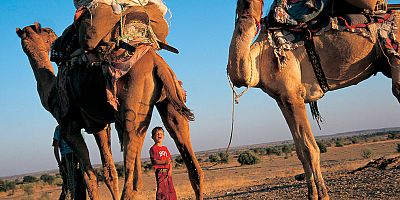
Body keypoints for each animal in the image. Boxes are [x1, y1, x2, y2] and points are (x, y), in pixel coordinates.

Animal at [16, 22, 205, 199]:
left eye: (46, 32)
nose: (54, 37)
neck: (52, 93)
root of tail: (157, 63)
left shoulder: (68, 127)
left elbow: (89, 176)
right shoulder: (99, 126)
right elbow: (109, 171)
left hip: (132, 110)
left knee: (133, 178)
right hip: (170, 100)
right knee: (190, 158)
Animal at [228, 0, 400, 200]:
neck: (259, 56)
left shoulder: (294, 96)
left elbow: (310, 149)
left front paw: (323, 195)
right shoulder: (282, 100)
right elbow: (300, 151)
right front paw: (312, 195)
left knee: (397, 89)